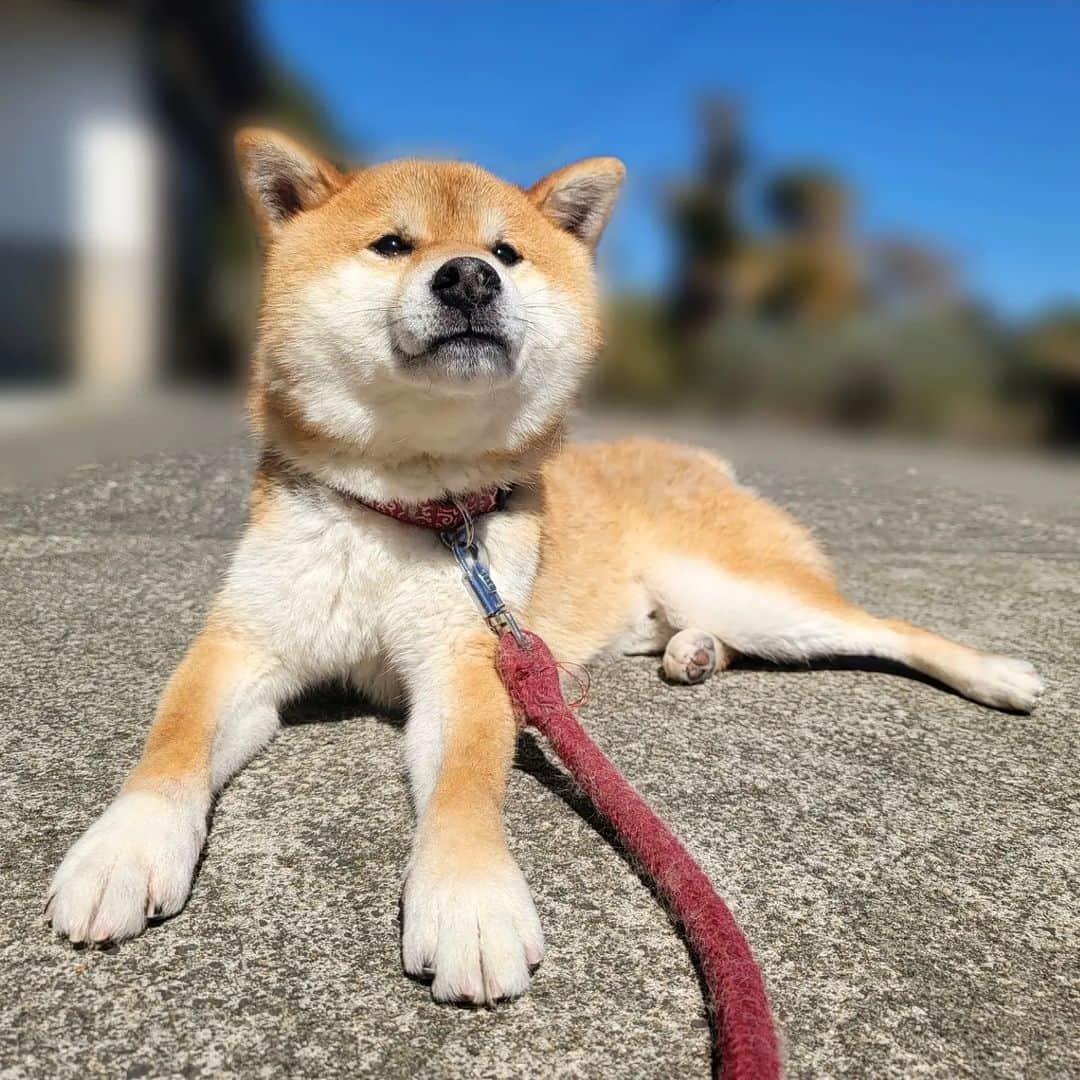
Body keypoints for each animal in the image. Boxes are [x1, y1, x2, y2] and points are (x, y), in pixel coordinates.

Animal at [44, 132, 1045, 1002]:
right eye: (393, 244)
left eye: (507, 252)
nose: (468, 275)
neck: (412, 508)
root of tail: (692, 455)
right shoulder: (244, 642)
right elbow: (172, 743)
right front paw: (124, 851)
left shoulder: (471, 661)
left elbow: (464, 786)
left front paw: (470, 902)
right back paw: (693, 654)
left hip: (750, 592)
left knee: (887, 628)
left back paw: (995, 673)